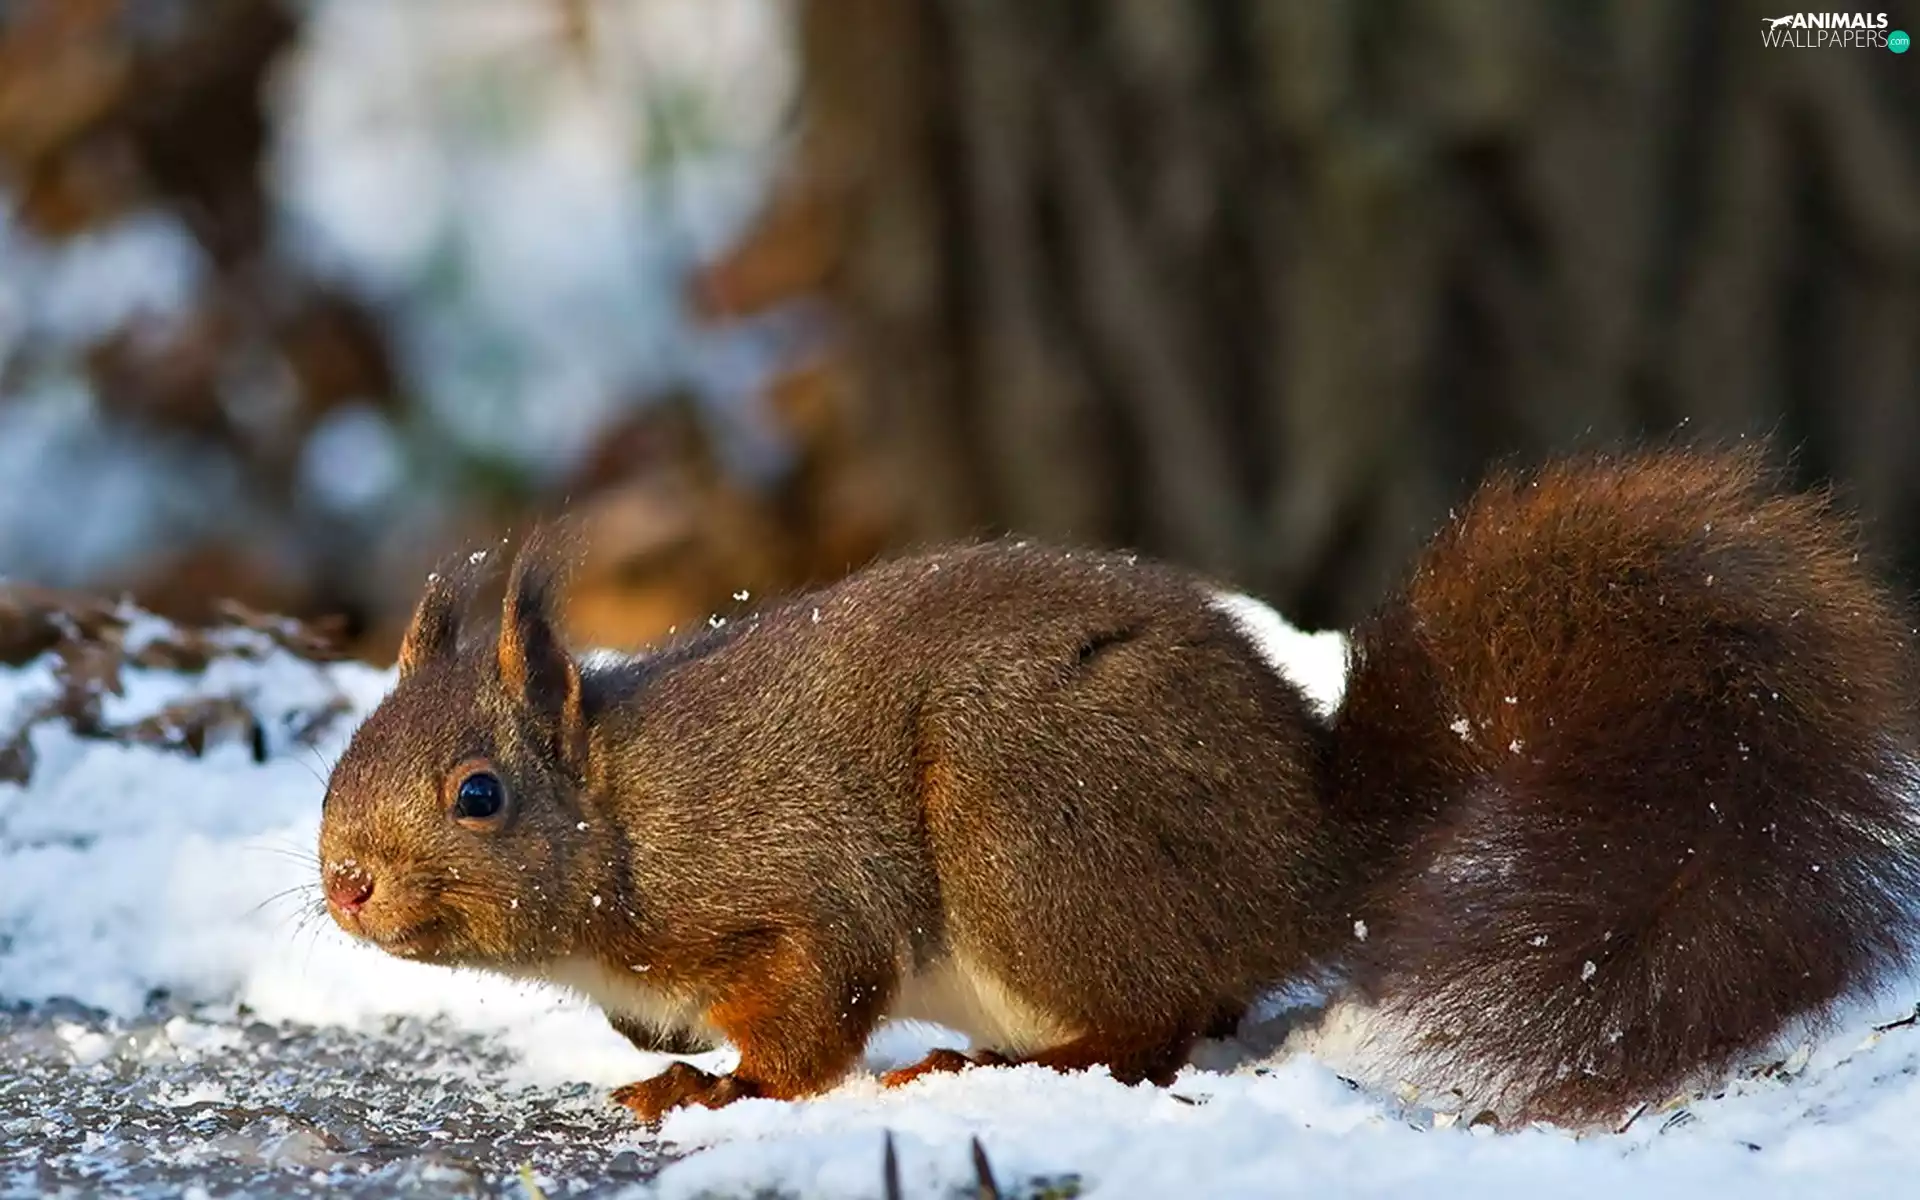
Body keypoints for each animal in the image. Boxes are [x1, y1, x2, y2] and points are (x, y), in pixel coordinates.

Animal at [317, 447, 1920, 1128]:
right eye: (344, 765)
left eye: (477, 795)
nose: (343, 885)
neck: (628, 815)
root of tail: (1309, 850)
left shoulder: (794, 875)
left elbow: (815, 1008)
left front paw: (714, 1093)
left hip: (1025, 825)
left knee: (1144, 1031)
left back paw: (995, 1070)